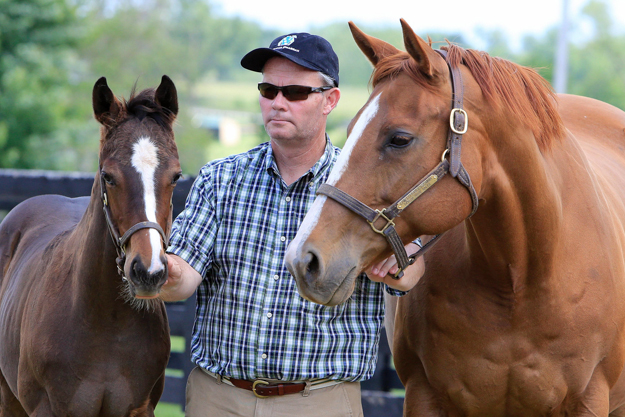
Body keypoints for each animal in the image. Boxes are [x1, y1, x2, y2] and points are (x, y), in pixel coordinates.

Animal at [284, 20, 625, 416]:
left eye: (399, 139)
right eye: (350, 127)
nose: (303, 259)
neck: (519, 282)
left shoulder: (590, 399)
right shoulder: (423, 395)